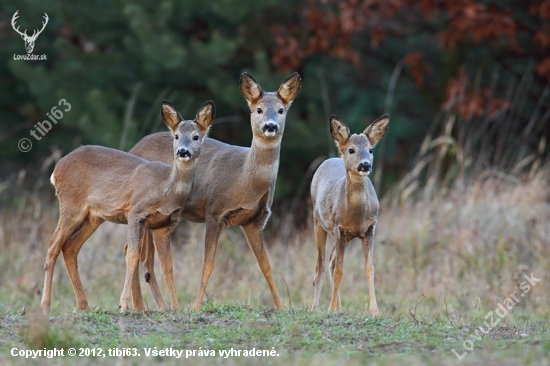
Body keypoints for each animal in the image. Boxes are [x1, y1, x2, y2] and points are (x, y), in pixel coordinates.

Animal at [38, 100, 215, 314]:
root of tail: (56, 169)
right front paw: (124, 304)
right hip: (70, 205)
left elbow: (168, 266)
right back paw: (45, 305)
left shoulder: (165, 224)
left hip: (93, 216)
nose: (182, 151)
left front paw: (176, 308)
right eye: (176, 136)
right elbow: (132, 255)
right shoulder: (135, 213)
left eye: (196, 136)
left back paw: (84, 305)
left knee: (70, 247)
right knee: (53, 245)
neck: (165, 189)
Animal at [128, 71, 304, 308]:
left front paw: (281, 306)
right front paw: (195, 307)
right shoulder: (214, 211)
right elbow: (208, 263)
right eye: (258, 109)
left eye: (281, 110)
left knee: (142, 257)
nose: (270, 126)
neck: (244, 180)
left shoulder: (255, 221)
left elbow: (265, 265)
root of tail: (133, 148)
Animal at [310, 113, 392, 314]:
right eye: (351, 150)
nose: (365, 165)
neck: (356, 217)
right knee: (320, 266)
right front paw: (331, 308)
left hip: (343, 237)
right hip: (318, 221)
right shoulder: (339, 228)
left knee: (331, 261)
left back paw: (338, 308)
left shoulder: (370, 228)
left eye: (370, 149)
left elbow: (369, 269)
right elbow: (340, 270)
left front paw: (375, 311)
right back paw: (315, 308)